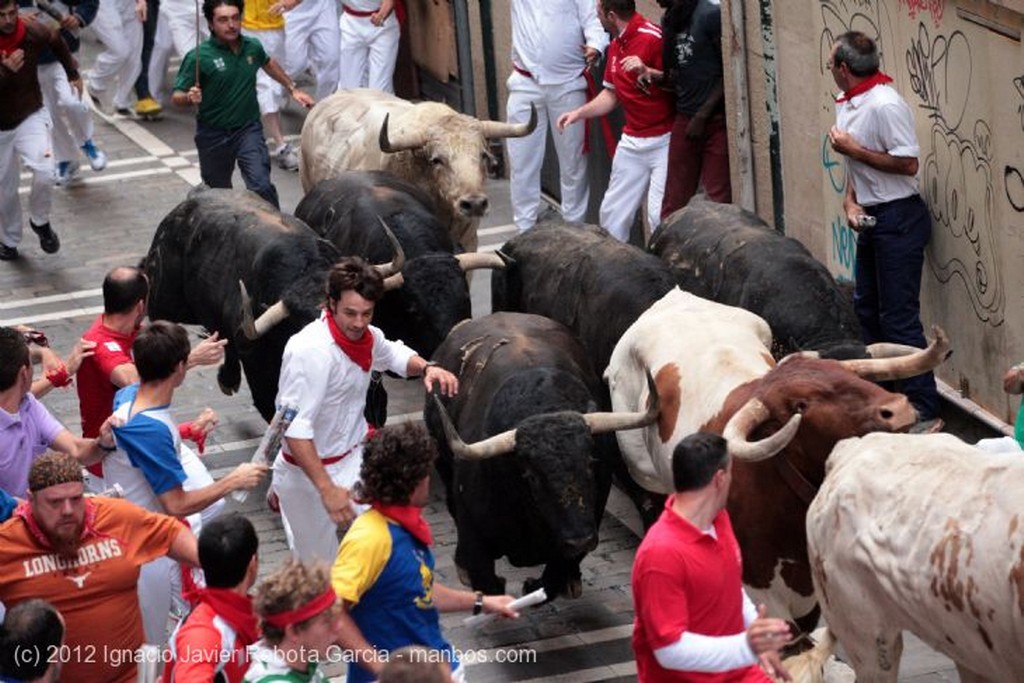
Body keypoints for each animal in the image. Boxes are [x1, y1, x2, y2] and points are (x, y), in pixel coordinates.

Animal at [421, 313, 614, 602]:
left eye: (591, 464)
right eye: (531, 476)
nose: (580, 539)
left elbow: (554, 576)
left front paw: (540, 584)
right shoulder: (473, 531)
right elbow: (486, 581)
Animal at [598, 288, 950, 634]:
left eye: (849, 375)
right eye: (800, 405)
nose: (898, 408)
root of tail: (675, 296)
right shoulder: (760, 593)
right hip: (644, 473)